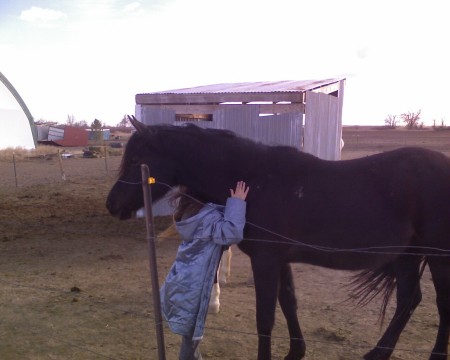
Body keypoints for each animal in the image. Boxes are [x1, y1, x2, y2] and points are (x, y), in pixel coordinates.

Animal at [107, 116, 448, 358]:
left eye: (136, 160)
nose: (112, 204)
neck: (257, 179)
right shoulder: (279, 260)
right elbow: (288, 302)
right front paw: (296, 352)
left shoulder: (266, 260)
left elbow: (265, 318)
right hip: (407, 256)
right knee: (409, 300)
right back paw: (377, 354)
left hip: (437, 256)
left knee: (440, 304)